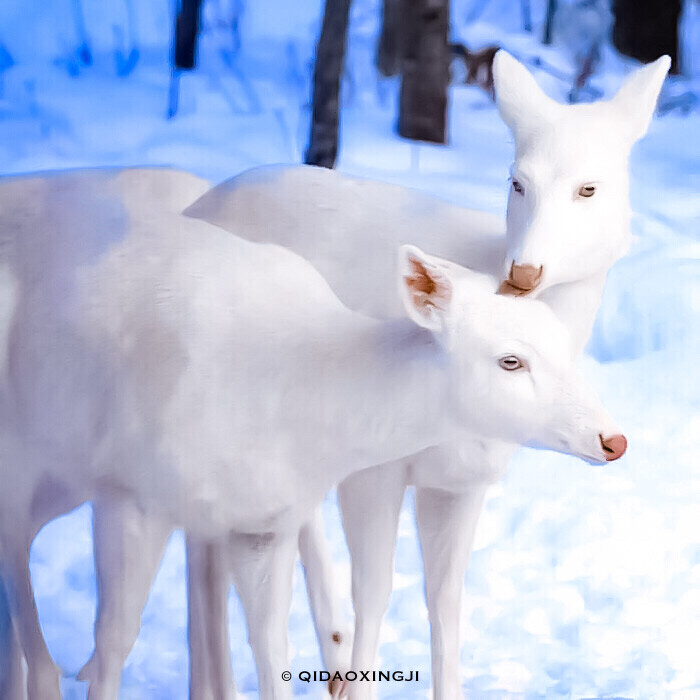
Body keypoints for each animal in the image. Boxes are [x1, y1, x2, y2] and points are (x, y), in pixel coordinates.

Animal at [0, 172, 624, 700]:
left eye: (562, 345)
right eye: (510, 360)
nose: (612, 439)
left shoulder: (262, 523)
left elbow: (271, 646)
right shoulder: (128, 492)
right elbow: (113, 645)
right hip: (32, 463)